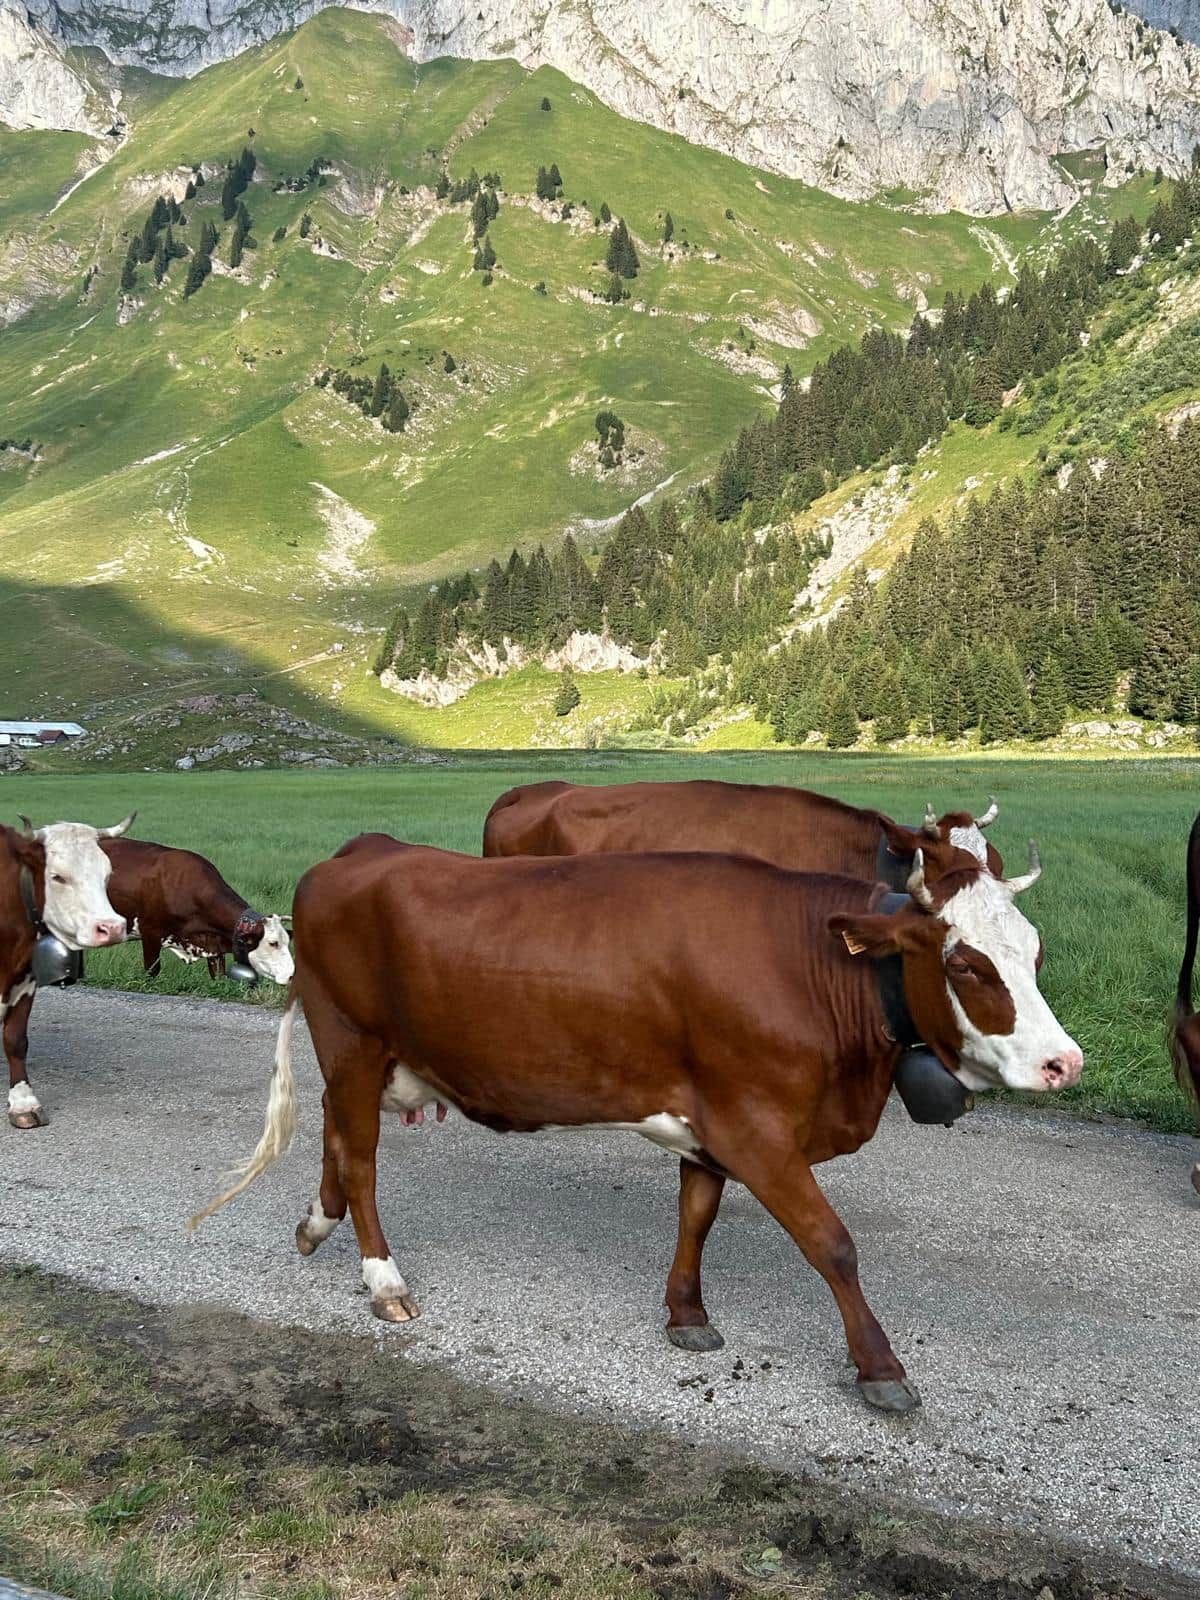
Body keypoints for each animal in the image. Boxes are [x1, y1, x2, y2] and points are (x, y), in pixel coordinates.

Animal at [1, 815, 133, 1129]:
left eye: (107, 874)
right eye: (58, 877)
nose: (112, 927)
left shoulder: (25, 980)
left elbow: (15, 1039)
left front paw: (23, 1103)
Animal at [101, 836, 293, 986]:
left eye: (287, 941)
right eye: (273, 943)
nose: (291, 975)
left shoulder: (214, 948)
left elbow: (218, 977)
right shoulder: (150, 933)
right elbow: (152, 971)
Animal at [193, 833, 1081, 1414]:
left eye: (1036, 954)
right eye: (965, 963)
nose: (1062, 1063)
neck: (813, 968)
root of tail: (353, 853)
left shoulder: (716, 1116)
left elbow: (697, 1213)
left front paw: (687, 1315)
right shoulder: (759, 1128)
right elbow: (833, 1245)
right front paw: (879, 1367)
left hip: (370, 1055)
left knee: (339, 1133)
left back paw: (316, 1225)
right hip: (350, 1037)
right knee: (362, 1153)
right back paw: (384, 1281)